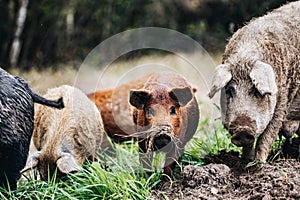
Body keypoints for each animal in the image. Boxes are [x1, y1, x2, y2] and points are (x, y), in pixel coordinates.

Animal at [209, 1, 300, 162]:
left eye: (257, 91)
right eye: (229, 90)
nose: (242, 130)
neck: (245, 56)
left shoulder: (282, 100)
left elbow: (267, 136)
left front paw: (259, 164)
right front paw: (245, 161)